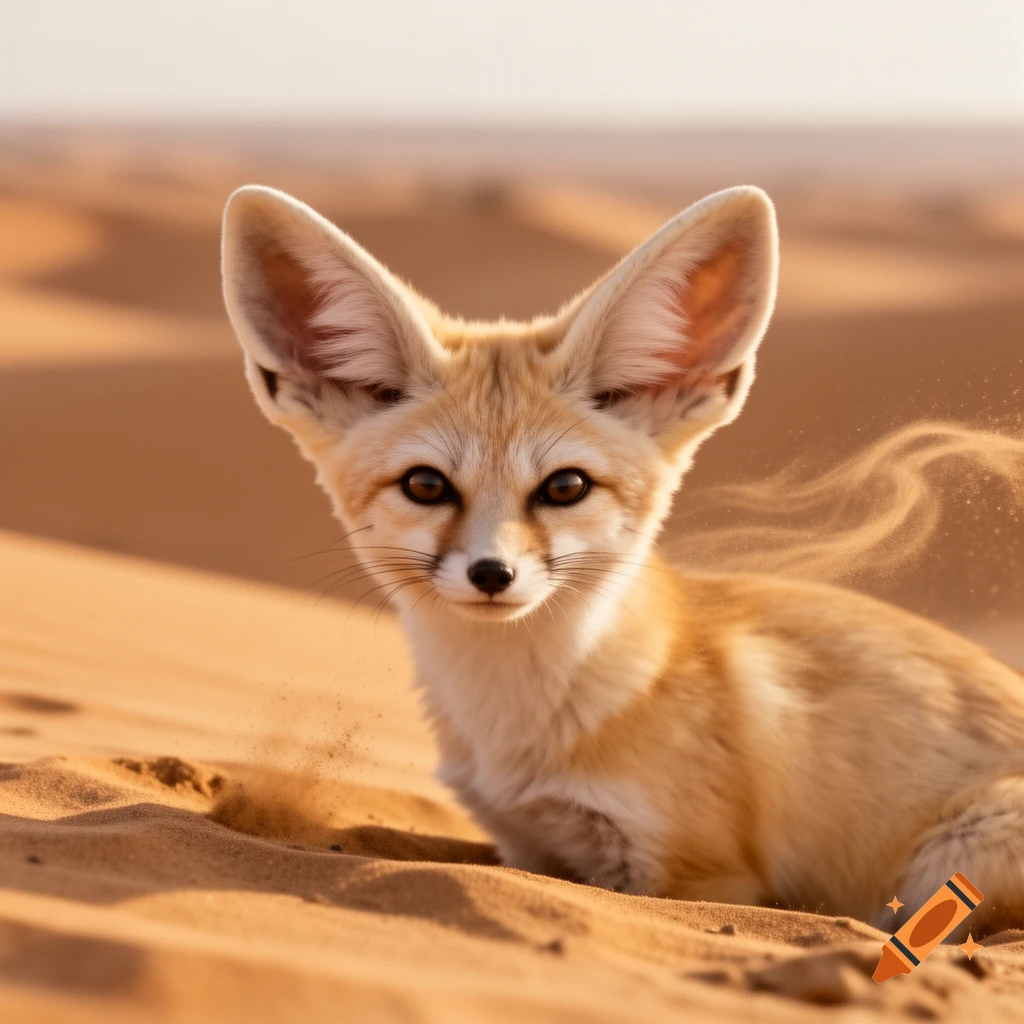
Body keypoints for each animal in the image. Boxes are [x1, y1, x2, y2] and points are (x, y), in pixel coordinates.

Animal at [221, 183, 1024, 939]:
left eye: (565, 487)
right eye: (426, 486)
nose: (492, 575)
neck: (520, 724)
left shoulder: (692, 871)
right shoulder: (527, 845)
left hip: (953, 857)